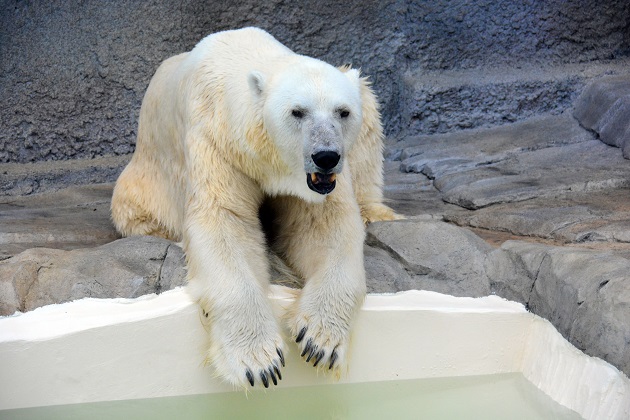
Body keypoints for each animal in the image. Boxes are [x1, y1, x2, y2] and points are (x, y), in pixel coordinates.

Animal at [111, 26, 402, 388]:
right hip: (142, 187)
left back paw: (379, 212)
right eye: (297, 111)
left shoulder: (317, 184)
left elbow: (324, 225)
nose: (326, 156)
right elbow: (224, 223)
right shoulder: (214, 142)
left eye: (343, 111)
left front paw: (318, 340)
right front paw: (259, 361)